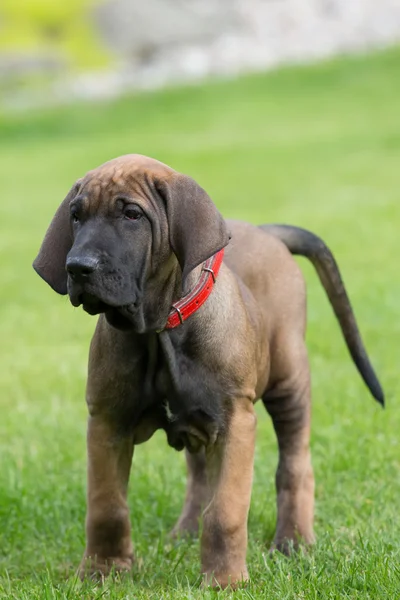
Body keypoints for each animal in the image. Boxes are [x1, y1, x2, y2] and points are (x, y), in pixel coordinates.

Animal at [32, 156, 382, 592]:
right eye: (76, 216)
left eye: (131, 215)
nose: (78, 267)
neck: (158, 330)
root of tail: (267, 232)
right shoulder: (106, 421)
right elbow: (106, 506)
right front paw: (103, 570)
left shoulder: (236, 423)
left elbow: (226, 510)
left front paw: (225, 580)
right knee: (199, 476)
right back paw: (185, 532)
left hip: (289, 380)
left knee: (295, 463)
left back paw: (293, 541)